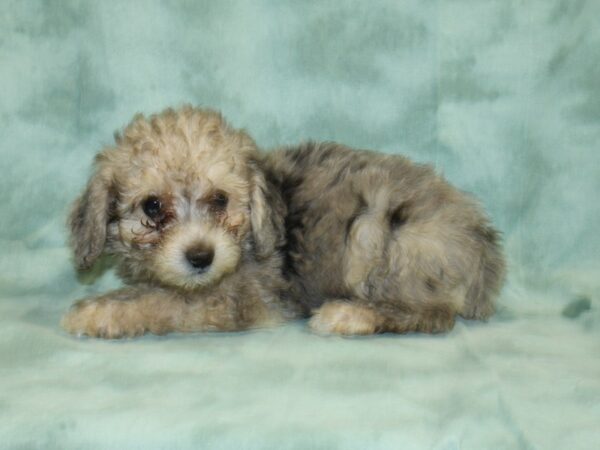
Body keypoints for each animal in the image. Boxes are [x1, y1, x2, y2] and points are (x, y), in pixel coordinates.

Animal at [63, 105, 506, 338]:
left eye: (220, 199)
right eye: (152, 207)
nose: (201, 257)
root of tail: (483, 242)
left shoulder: (236, 298)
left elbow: (165, 301)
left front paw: (102, 311)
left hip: (377, 231)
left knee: (433, 314)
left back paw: (351, 315)